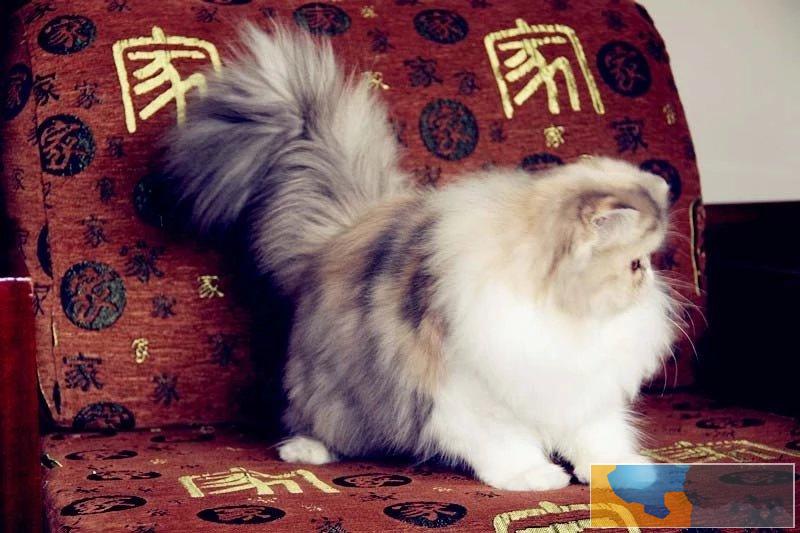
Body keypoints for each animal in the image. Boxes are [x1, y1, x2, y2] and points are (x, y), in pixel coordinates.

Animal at [162, 23, 677, 491]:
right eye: (636, 264)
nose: (653, 279)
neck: (565, 320)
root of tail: (342, 230)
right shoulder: (467, 393)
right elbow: (506, 443)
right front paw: (533, 477)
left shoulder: (579, 390)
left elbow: (600, 437)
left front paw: (623, 472)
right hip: (331, 385)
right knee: (313, 417)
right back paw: (306, 450)